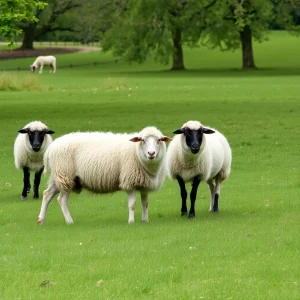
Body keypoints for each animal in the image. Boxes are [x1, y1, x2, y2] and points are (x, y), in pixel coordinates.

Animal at [37, 125, 171, 224]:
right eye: (143, 140)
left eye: (159, 140)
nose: (151, 153)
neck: (136, 153)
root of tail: (51, 147)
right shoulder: (129, 181)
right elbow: (132, 205)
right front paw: (131, 222)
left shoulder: (144, 184)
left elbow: (145, 204)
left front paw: (145, 220)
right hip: (66, 175)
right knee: (62, 200)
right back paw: (70, 221)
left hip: (59, 176)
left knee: (47, 194)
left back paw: (41, 220)